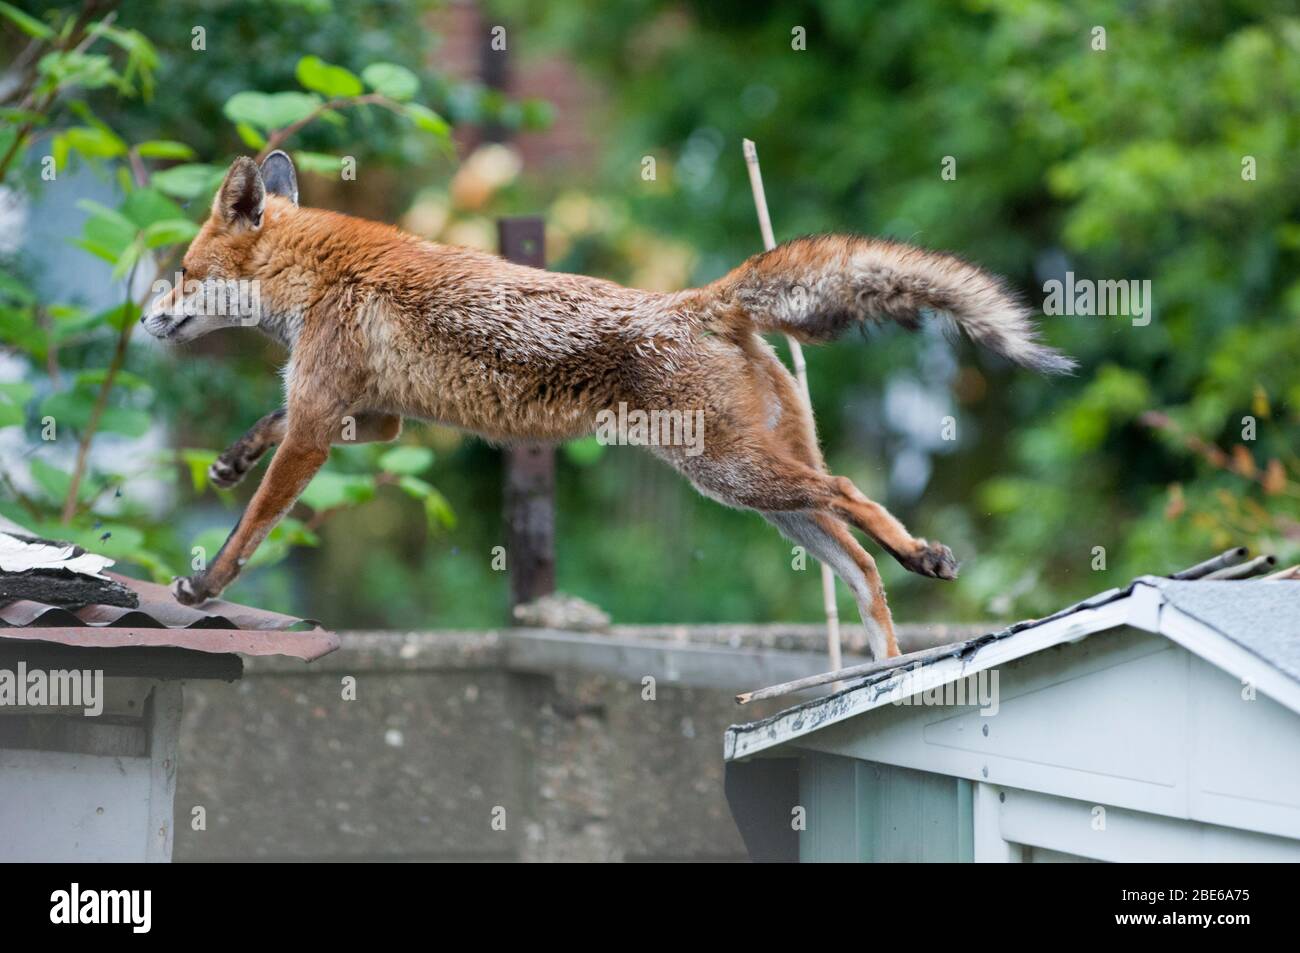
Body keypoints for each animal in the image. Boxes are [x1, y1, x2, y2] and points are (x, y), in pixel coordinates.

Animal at [143, 151, 1073, 660]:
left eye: (183, 272)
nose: (148, 318)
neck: (319, 276)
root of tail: (704, 299)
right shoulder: (371, 413)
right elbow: (264, 433)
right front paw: (227, 460)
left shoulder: (320, 419)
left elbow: (254, 525)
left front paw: (205, 583)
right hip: (763, 491)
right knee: (857, 562)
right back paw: (880, 657)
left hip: (734, 474)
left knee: (852, 493)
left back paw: (922, 558)